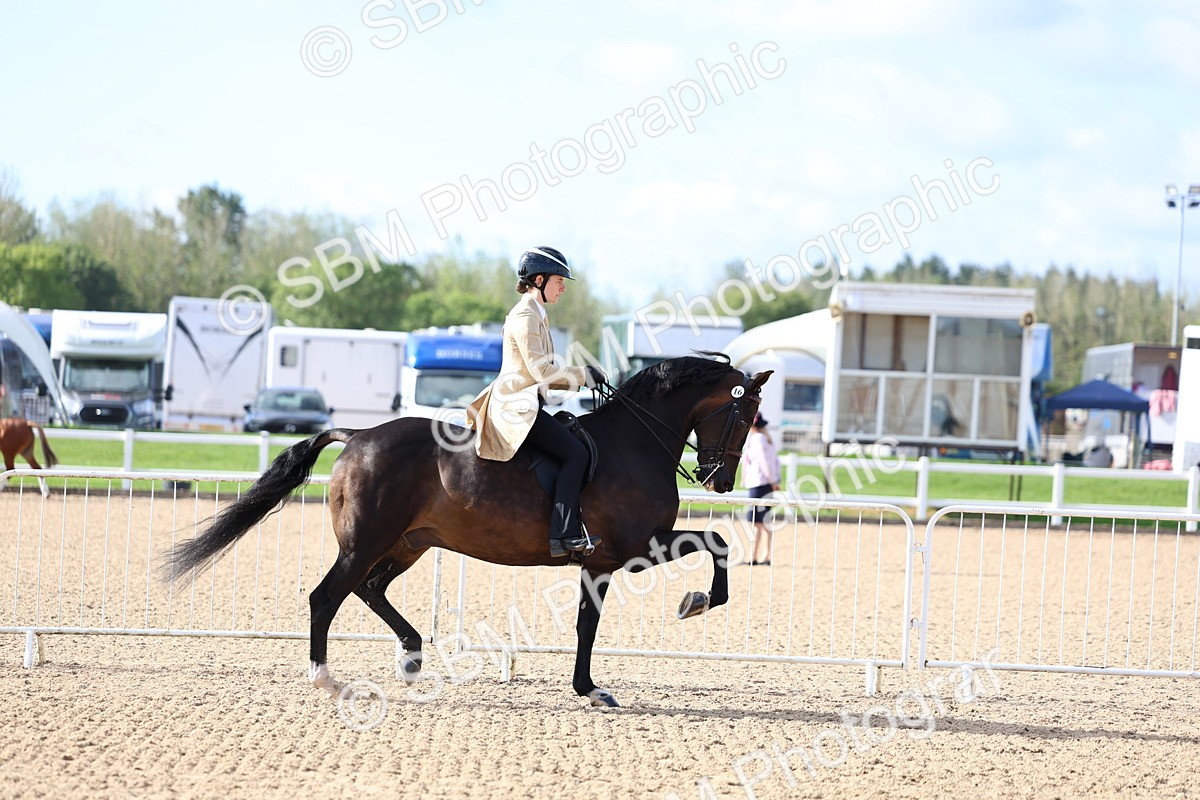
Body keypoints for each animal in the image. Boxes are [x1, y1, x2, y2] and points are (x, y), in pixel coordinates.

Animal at [164, 354, 772, 707]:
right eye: (744, 417)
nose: (721, 481)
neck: (633, 443)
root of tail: (357, 435)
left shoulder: (611, 559)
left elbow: (598, 616)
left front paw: (594, 682)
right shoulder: (624, 552)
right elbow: (706, 549)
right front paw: (692, 605)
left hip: (407, 544)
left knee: (370, 590)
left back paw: (411, 656)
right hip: (366, 543)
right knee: (327, 597)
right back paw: (326, 679)